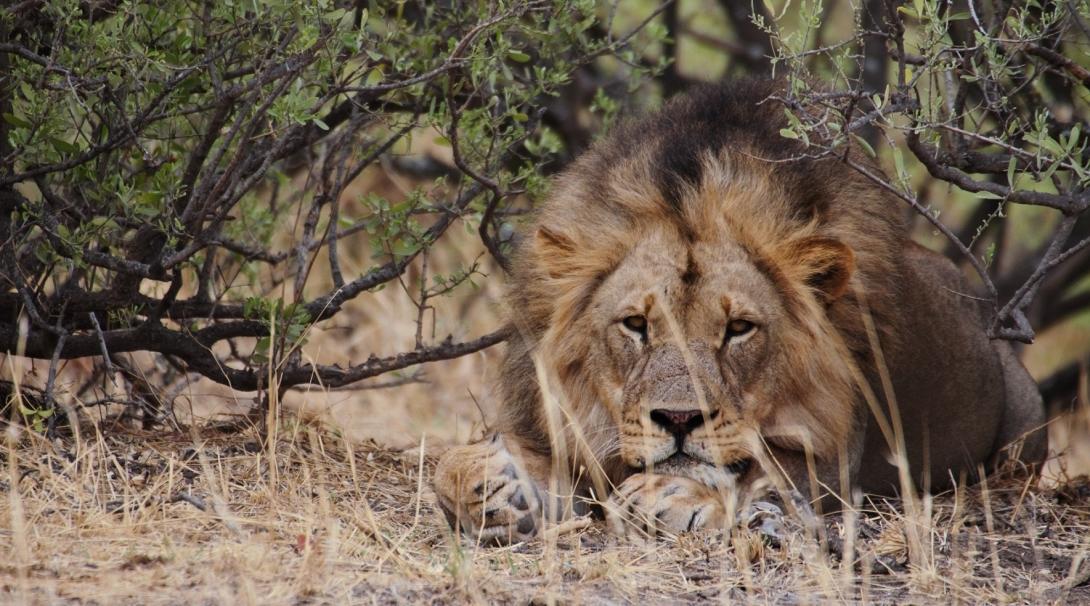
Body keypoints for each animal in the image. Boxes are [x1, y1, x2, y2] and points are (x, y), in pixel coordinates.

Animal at [431, 79, 1046, 544]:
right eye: (636, 325)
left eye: (739, 329)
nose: (679, 420)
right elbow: (447, 467)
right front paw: (493, 489)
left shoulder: (832, 455)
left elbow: (765, 470)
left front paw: (672, 492)